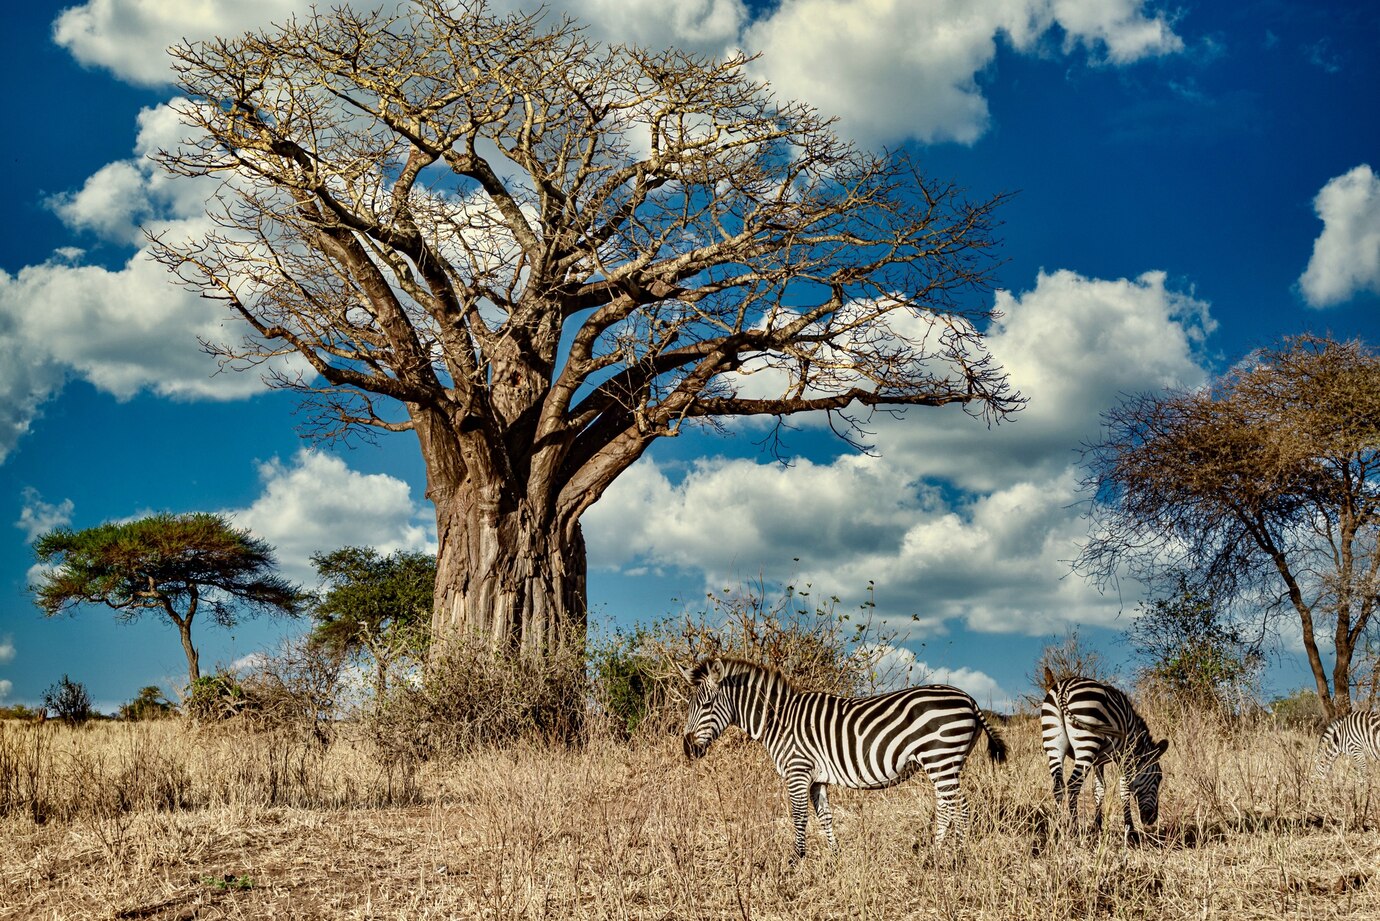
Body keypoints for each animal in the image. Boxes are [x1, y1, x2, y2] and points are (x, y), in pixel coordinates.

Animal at [676, 654, 1004, 856]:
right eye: (691, 705)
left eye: (705, 705)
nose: (687, 749)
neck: (778, 720)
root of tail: (968, 698)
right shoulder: (816, 778)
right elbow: (825, 816)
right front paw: (834, 856)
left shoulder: (797, 771)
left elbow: (799, 816)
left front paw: (796, 860)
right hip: (946, 763)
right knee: (949, 806)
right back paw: (944, 854)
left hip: (941, 759)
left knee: (959, 808)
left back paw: (950, 857)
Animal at [1037, 665, 1170, 845]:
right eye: (1159, 777)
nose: (1151, 820)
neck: (1136, 740)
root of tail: (1063, 688)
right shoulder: (1126, 755)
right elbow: (1124, 789)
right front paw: (1130, 831)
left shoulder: (1098, 761)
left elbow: (1099, 789)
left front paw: (1097, 826)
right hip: (1086, 741)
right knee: (1073, 785)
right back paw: (1074, 830)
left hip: (1054, 743)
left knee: (1058, 786)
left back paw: (1057, 829)